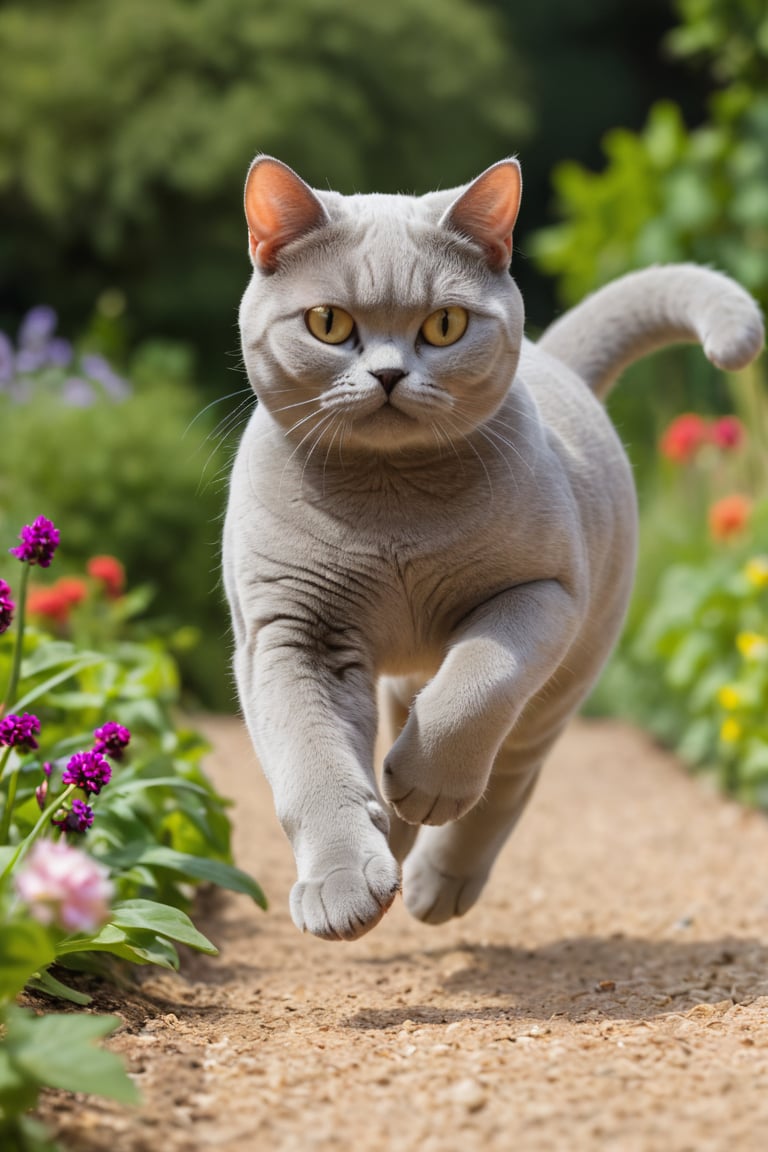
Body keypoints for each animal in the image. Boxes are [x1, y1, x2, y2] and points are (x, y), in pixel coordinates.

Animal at [221, 157, 764, 940]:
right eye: (329, 323)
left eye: (445, 325)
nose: (389, 374)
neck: (391, 506)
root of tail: (556, 361)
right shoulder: (289, 631)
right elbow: (314, 763)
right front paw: (342, 884)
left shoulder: (539, 593)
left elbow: (473, 690)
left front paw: (426, 784)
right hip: (400, 673)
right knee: (395, 727)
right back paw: (392, 838)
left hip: (564, 681)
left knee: (508, 776)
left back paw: (435, 876)